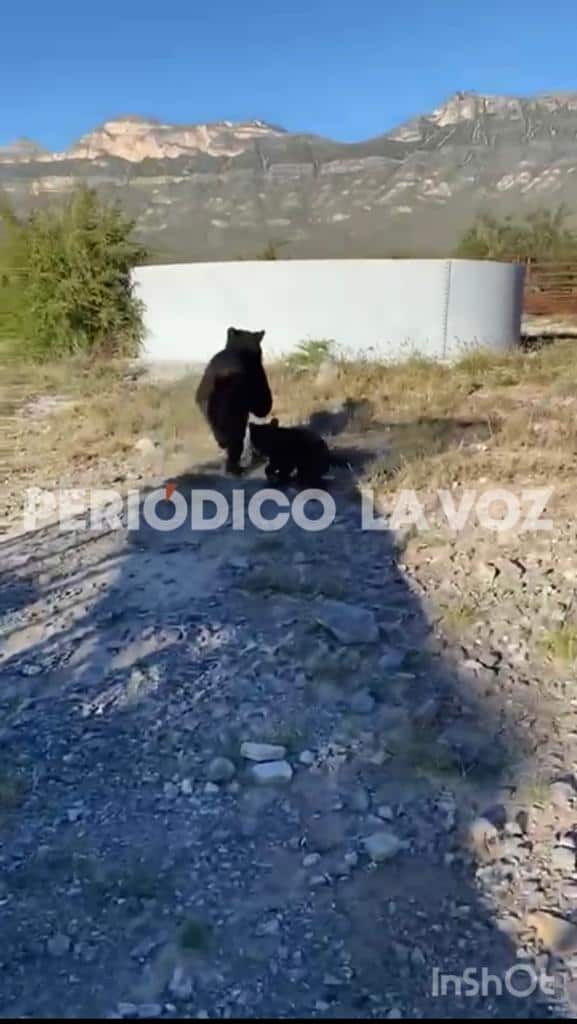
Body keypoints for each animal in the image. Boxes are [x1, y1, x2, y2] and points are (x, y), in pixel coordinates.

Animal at [195, 327, 272, 475]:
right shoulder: (258, 377)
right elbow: (263, 405)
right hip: (234, 410)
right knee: (236, 438)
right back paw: (235, 468)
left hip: (208, 404)